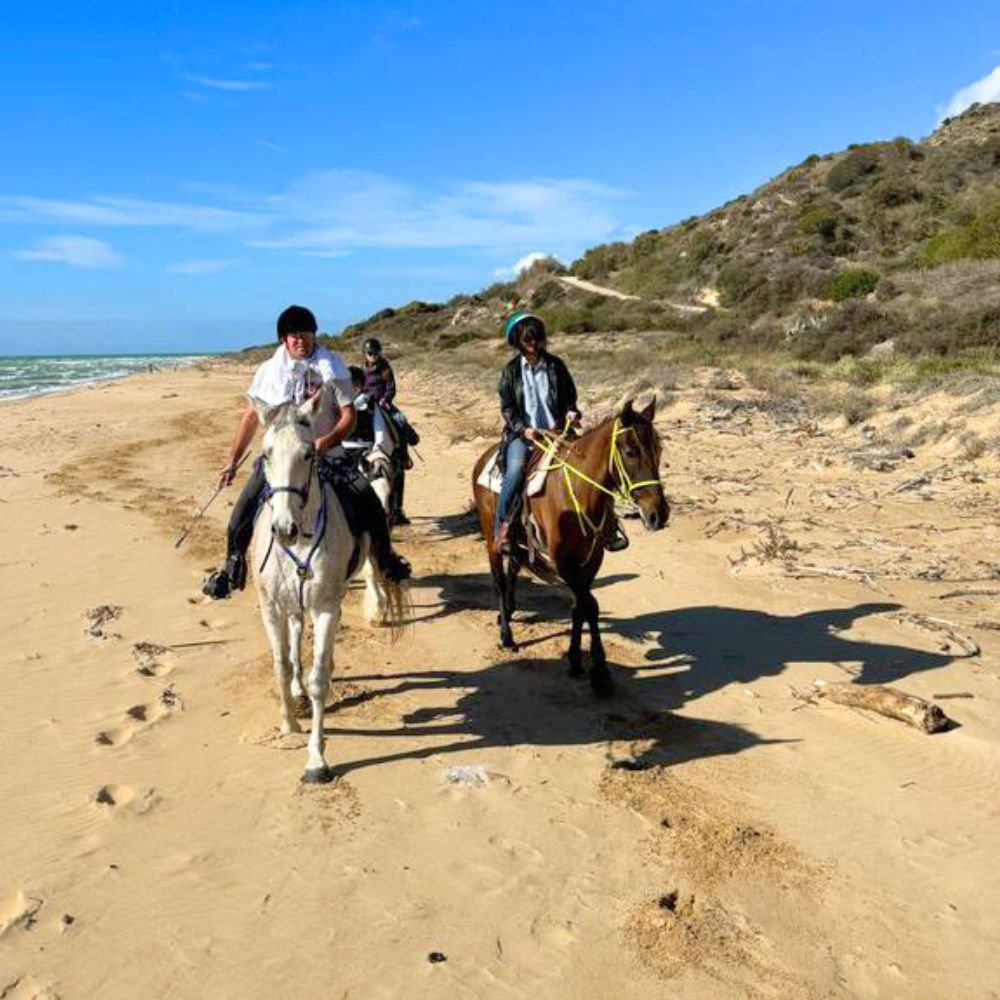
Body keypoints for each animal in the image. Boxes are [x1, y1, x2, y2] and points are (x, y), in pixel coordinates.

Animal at [251, 385, 407, 783]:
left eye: (308, 453)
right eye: (266, 453)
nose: (284, 529)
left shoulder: (324, 607)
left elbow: (319, 676)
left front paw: (316, 760)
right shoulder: (271, 608)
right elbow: (281, 664)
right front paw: (289, 723)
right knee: (294, 638)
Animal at [472, 398, 669, 696]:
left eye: (659, 449)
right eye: (631, 452)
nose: (660, 514)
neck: (581, 492)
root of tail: (485, 457)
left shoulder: (591, 558)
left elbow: (580, 606)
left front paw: (576, 661)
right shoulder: (563, 561)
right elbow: (590, 605)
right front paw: (600, 673)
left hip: (520, 542)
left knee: (513, 571)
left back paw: (508, 612)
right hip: (491, 539)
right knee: (498, 580)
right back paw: (506, 636)